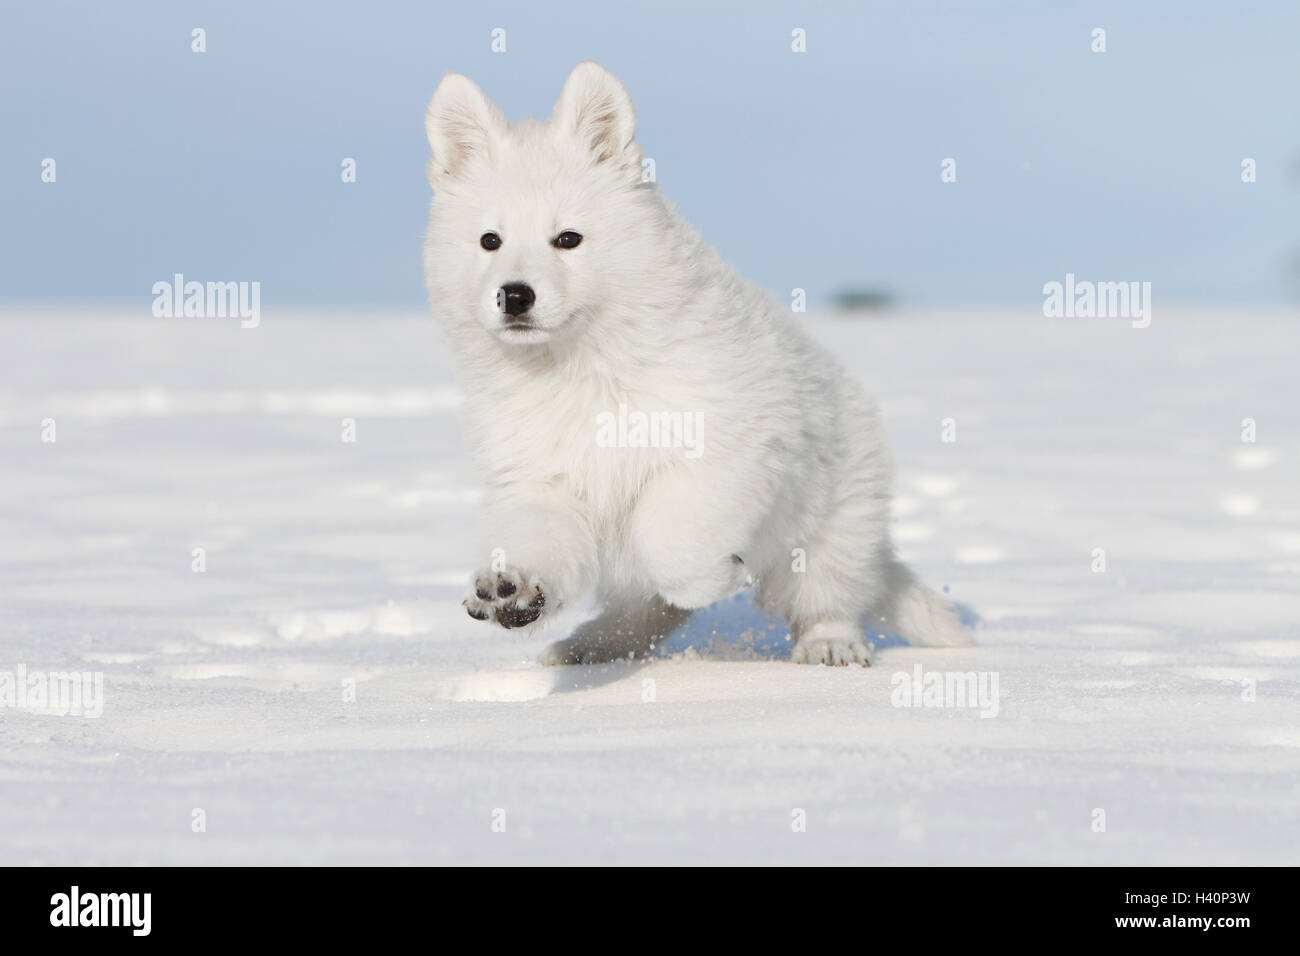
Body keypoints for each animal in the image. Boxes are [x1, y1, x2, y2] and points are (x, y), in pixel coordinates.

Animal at [421, 59, 972, 665]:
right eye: (489, 241)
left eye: (568, 239)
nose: (515, 295)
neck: (581, 367)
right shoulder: (543, 482)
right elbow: (542, 543)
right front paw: (512, 590)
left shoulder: (720, 455)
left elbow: (672, 544)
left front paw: (718, 576)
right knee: (645, 614)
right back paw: (584, 647)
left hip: (829, 523)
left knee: (829, 596)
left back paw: (830, 645)